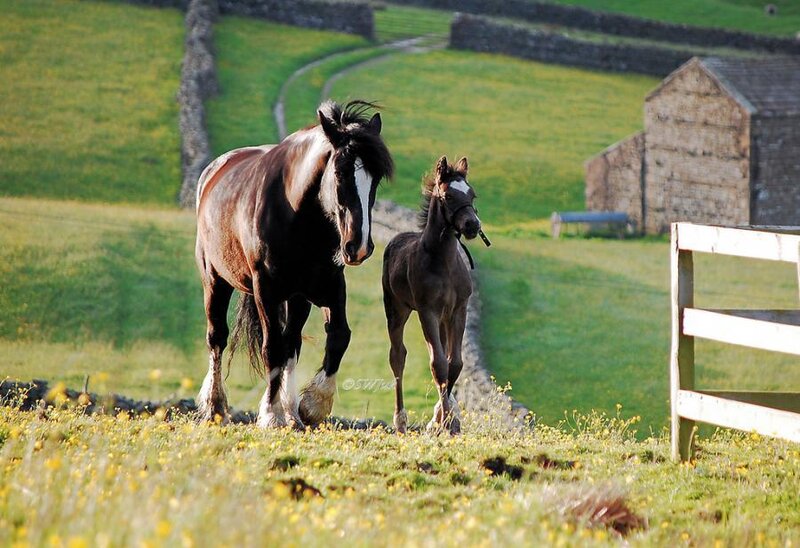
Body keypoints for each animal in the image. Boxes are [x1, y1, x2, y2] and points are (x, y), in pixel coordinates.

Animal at [194, 100, 393, 429]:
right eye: (340, 173)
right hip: (215, 280)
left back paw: (291, 412)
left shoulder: (328, 285)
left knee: (292, 343)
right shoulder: (266, 289)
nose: (359, 246)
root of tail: (213, 170)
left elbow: (338, 336)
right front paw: (270, 414)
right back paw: (215, 407)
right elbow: (272, 347)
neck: (299, 216)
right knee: (217, 337)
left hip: (298, 298)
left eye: (375, 179)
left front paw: (311, 406)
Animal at [382, 156, 485, 435]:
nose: (472, 225)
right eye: (448, 196)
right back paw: (400, 421)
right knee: (397, 357)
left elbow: (455, 364)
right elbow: (438, 364)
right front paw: (444, 422)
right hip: (397, 310)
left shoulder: (458, 310)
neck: (443, 262)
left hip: (442, 319)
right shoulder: (427, 311)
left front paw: (447, 419)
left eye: (471, 194)